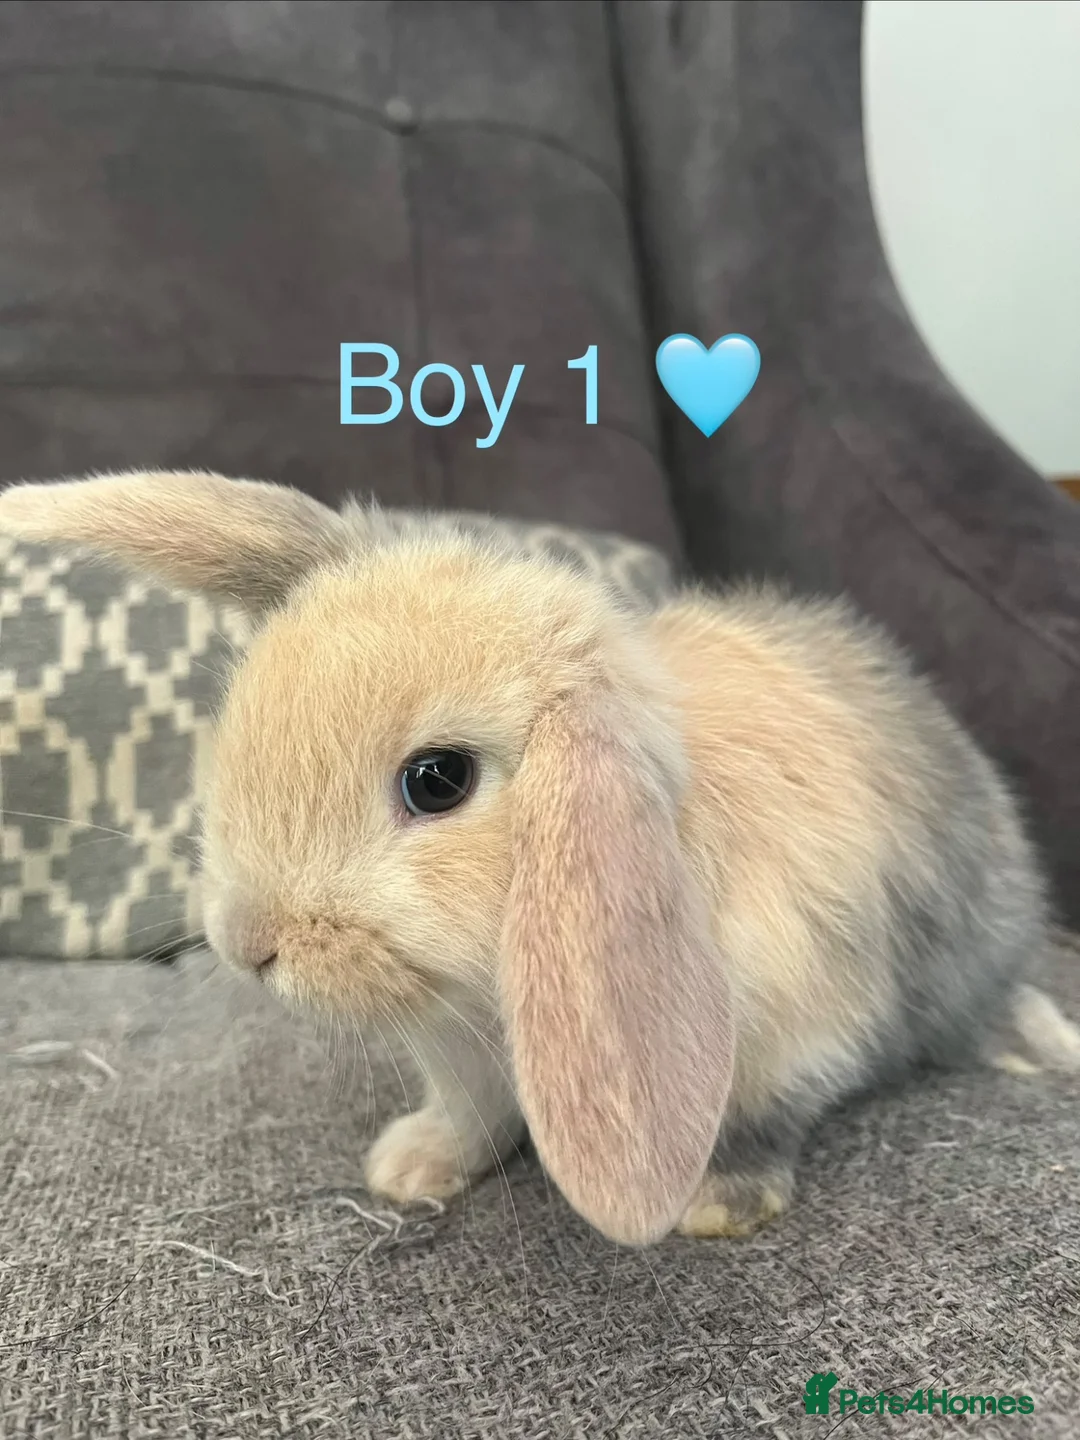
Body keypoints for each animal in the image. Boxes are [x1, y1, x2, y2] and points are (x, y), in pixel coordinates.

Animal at [1, 469, 1077, 1248]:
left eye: (438, 781)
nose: (246, 944)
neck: (490, 984)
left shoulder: (801, 1030)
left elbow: (766, 1119)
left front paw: (716, 1205)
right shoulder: (463, 1055)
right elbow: (470, 1117)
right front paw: (409, 1168)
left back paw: (1036, 1046)